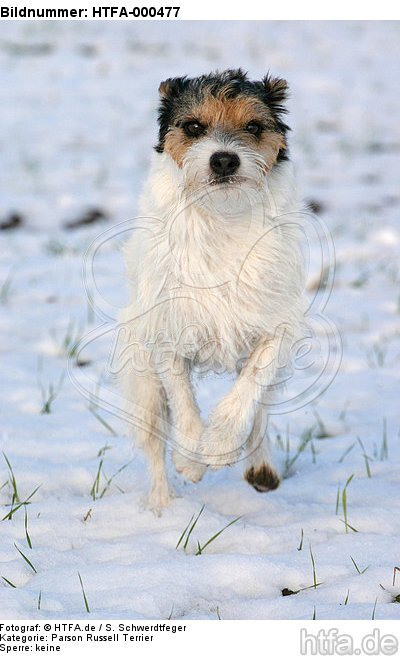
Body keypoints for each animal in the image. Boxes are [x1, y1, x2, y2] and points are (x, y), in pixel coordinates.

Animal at [118, 69, 306, 516]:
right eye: (193, 127)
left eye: (253, 127)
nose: (223, 159)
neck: (224, 215)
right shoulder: (166, 332)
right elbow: (183, 400)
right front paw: (191, 457)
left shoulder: (274, 328)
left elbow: (248, 391)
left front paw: (218, 446)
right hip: (142, 379)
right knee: (154, 441)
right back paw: (161, 506)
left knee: (261, 410)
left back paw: (260, 467)